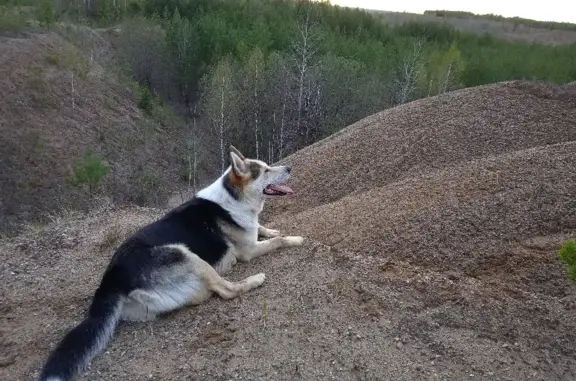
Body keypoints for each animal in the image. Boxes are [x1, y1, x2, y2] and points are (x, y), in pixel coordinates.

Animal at [38, 145, 304, 380]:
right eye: (265, 170)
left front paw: (270, 229)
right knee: (226, 289)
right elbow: (277, 240)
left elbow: (264, 228)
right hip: (185, 254)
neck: (232, 197)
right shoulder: (248, 251)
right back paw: (254, 279)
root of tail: (111, 281)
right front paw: (295, 239)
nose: (289, 167)